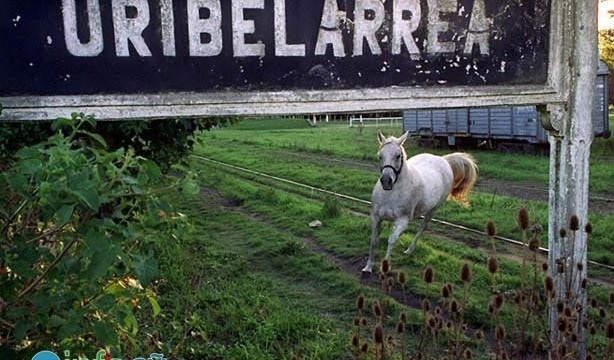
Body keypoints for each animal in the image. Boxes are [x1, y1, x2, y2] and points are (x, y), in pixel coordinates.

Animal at [364, 131, 478, 272]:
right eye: (380, 156)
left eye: (398, 156)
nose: (386, 181)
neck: (391, 194)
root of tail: (443, 160)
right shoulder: (376, 217)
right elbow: (374, 240)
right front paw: (368, 267)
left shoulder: (402, 221)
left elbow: (392, 240)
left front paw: (385, 267)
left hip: (433, 210)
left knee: (423, 227)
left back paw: (409, 250)